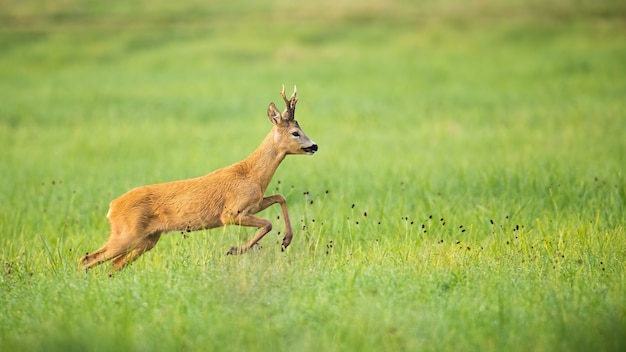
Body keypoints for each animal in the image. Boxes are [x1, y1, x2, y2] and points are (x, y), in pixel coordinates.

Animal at [79, 86, 316, 272]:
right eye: (295, 132)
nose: (314, 146)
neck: (251, 175)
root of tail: (112, 207)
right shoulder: (230, 213)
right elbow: (267, 223)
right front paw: (234, 250)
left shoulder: (254, 204)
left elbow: (280, 197)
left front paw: (286, 240)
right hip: (127, 233)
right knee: (87, 259)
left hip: (147, 239)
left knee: (112, 265)